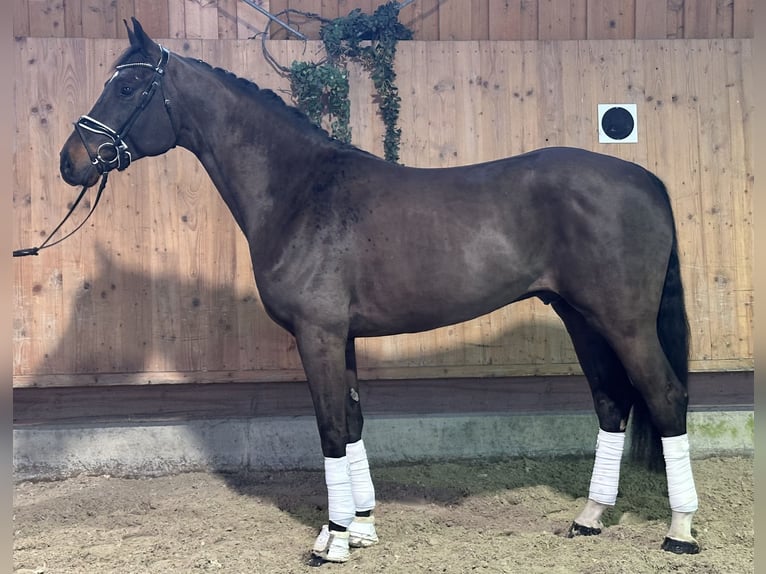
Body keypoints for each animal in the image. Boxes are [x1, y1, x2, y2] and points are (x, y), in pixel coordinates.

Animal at [59, 18, 700, 562]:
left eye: (127, 87)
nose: (71, 162)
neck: (301, 191)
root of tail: (646, 179)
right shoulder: (339, 337)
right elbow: (353, 422)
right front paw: (360, 528)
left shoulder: (317, 335)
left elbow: (329, 428)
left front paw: (333, 540)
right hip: (580, 318)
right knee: (612, 403)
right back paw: (589, 517)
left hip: (624, 322)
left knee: (666, 398)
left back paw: (680, 531)